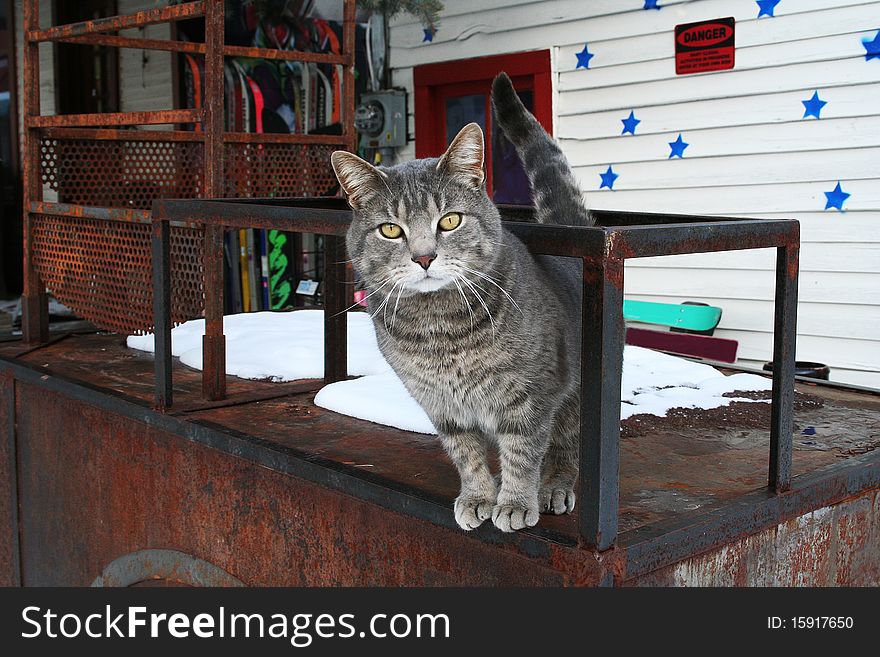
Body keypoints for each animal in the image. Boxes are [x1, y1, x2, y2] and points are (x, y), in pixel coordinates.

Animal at [330, 73, 592, 532]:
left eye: (449, 220)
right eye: (390, 230)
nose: (423, 257)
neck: (439, 327)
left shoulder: (530, 397)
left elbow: (522, 451)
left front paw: (515, 502)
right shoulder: (442, 406)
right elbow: (467, 455)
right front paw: (478, 496)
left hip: (574, 393)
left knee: (563, 443)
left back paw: (553, 486)